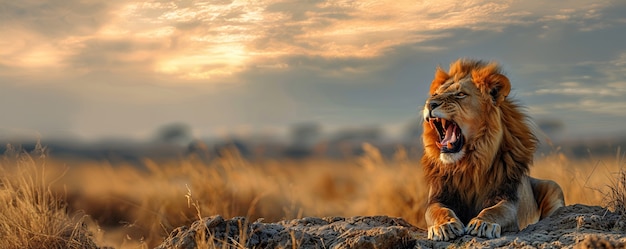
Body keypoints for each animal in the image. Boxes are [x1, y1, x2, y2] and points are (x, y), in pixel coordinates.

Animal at [422, 58, 564, 241]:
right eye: (434, 95)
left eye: (460, 94)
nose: (430, 104)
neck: (469, 164)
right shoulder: (437, 197)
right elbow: (437, 210)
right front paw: (445, 226)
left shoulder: (508, 198)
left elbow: (496, 210)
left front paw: (482, 224)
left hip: (552, 185)